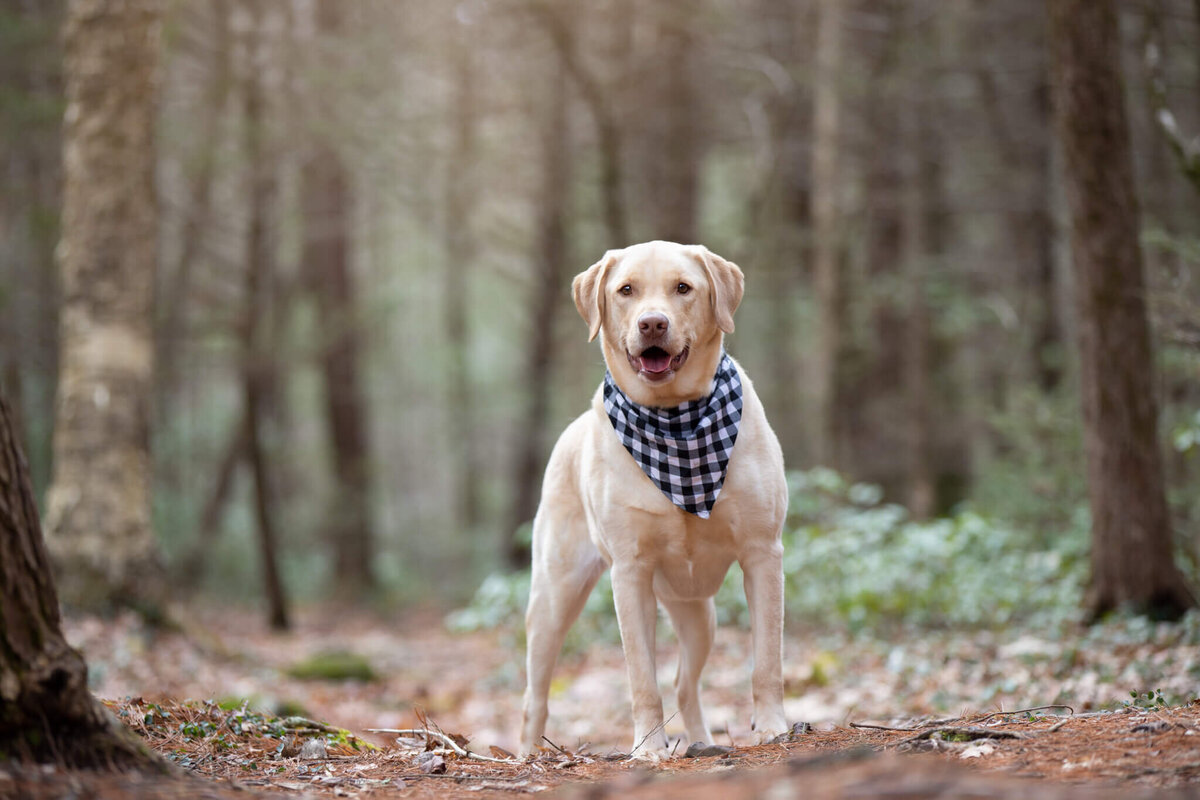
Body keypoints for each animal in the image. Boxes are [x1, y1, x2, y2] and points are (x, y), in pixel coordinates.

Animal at [516, 241, 787, 762]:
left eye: (683, 288)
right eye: (626, 290)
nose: (653, 324)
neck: (672, 420)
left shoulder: (763, 554)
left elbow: (766, 658)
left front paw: (771, 727)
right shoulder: (630, 572)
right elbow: (642, 676)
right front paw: (647, 747)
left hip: (698, 612)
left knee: (685, 683)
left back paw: (703, 742)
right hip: (553, 596)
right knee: (534, 693)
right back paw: (530, 755)